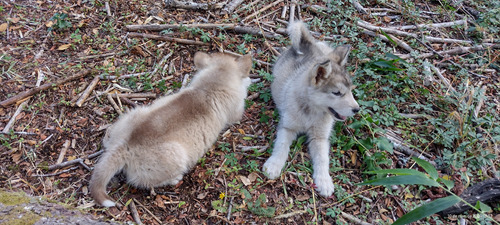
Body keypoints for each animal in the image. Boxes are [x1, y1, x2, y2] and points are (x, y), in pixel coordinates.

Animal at [90, 51, 252, 207]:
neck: (208, 88)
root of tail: (124, 147)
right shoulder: (236, 113)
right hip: (176, 157)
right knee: (144, 182)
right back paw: (174, 179)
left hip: (132, 115)